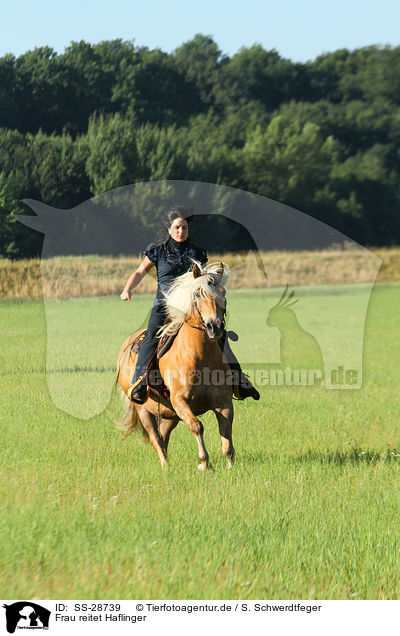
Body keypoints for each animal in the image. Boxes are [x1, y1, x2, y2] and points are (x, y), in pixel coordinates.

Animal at [116, 260, 234, 470]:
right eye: (198, 294)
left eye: (223, 292)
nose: (214, 326)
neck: (200, 357)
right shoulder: (180, 401)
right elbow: (197, 426)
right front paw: (204, 463)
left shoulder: (224, 402)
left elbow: (226, 432)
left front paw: (229, 465)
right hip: (144, 409)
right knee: (155, 437)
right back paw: (166, 466)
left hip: (170, 414)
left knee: (163, 435)